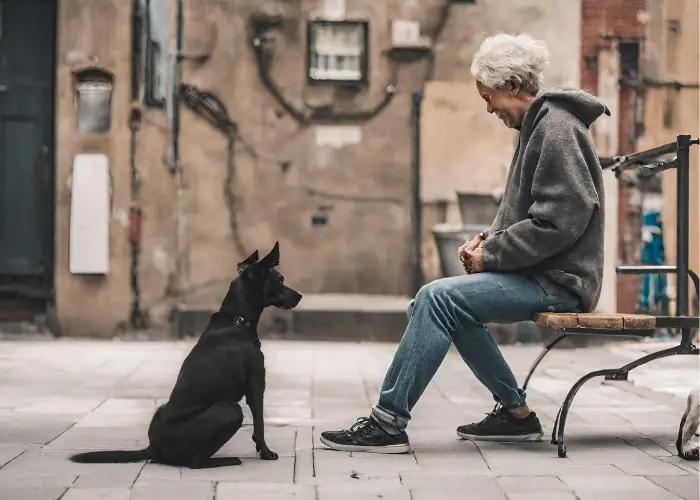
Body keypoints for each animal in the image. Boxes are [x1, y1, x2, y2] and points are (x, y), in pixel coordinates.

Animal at [69, 242, 302, 468]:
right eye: (280, 280)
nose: (299, 296)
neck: (236, 319)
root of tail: (152, 447)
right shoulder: (256, 384)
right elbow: (259, 424)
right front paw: (266, 452)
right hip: (230, 409)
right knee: (195, 463)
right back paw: (226, 460)